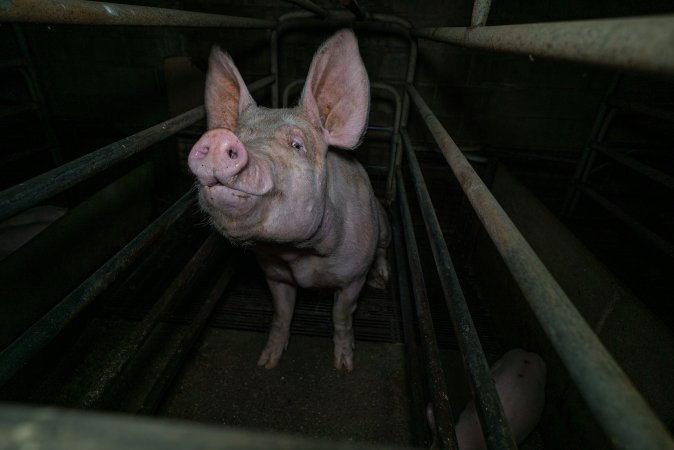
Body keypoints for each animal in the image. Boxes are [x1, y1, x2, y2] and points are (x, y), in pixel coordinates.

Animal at [188, 29, 388, 370]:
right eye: (242, 134)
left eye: (297, 145)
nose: (217, 138)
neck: (300, 256)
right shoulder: (275, 274)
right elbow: (282, 313)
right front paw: (266, 362)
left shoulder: (353, 277)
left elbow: (341, 315)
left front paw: (344, 365)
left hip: (383, 224)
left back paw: (382, 281)